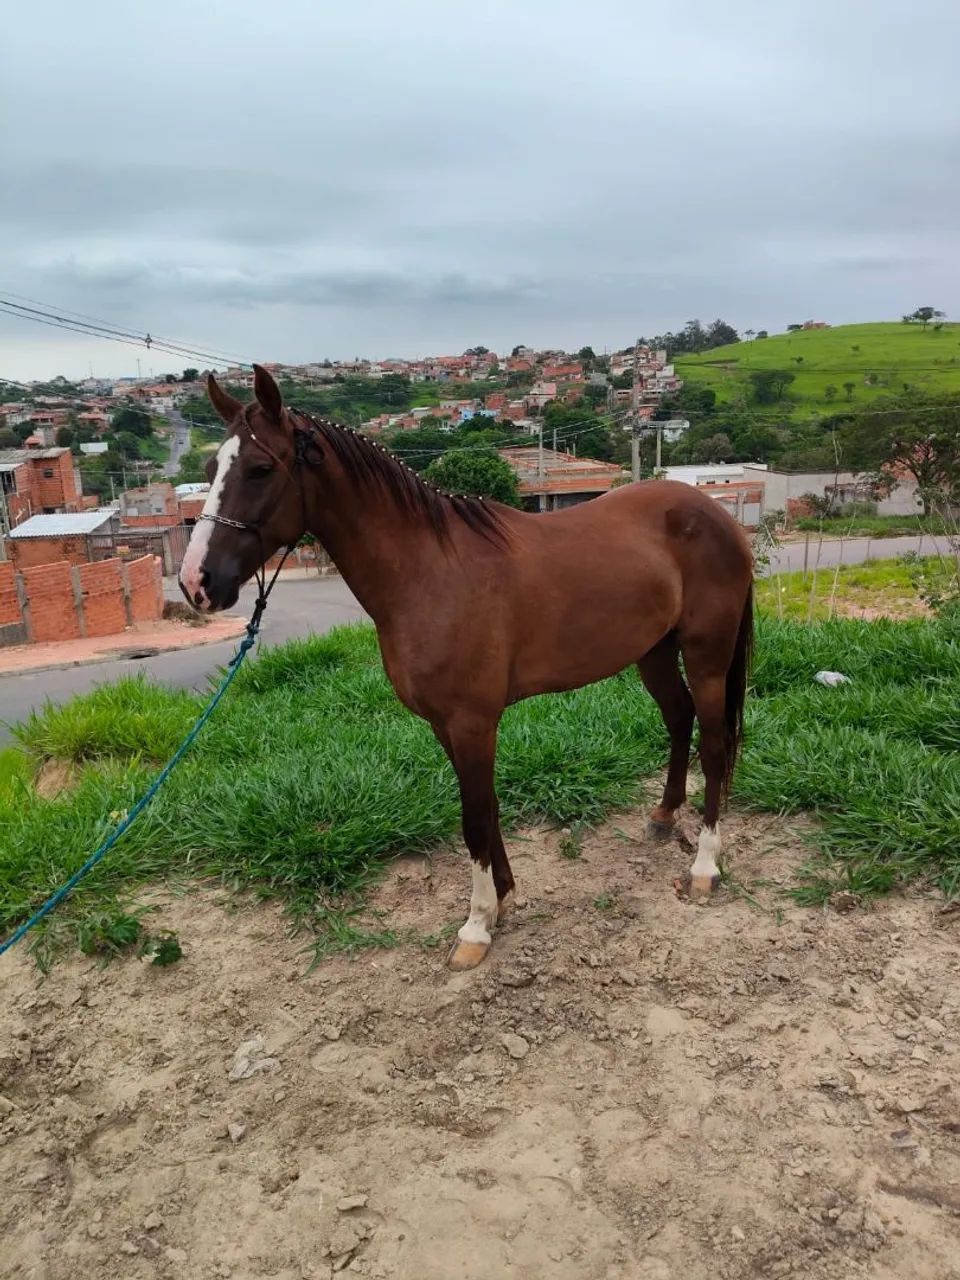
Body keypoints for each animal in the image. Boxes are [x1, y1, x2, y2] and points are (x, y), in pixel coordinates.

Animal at [180, 365, 754, 970]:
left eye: (261, 469)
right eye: (210, 471)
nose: (197, 583)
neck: (428, 572)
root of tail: (718, 516)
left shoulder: (472, 721)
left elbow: (473, 818)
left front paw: (477, 926)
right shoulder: (445, 725)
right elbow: (486, 808)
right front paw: (503, 896)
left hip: (707, 655)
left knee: (714, 745)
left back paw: (704, 867)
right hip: (654, 652)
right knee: (679, 720)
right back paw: (664, 817)